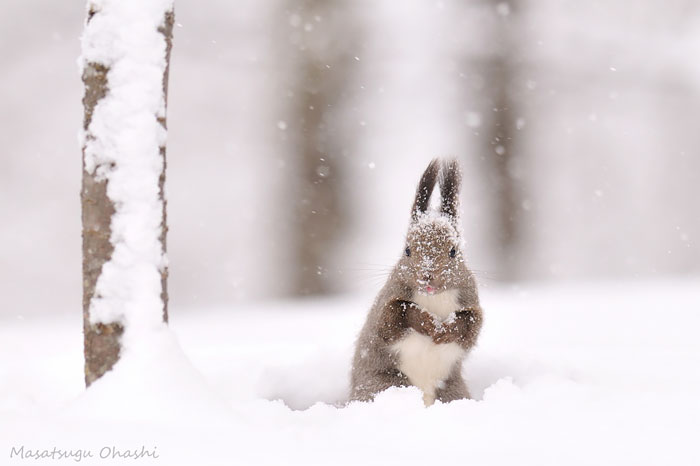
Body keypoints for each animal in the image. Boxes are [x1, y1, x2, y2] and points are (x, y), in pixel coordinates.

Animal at [350, 158, 483, 406]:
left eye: (453, 251)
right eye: (407, 250)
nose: (427, 276)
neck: (434, 297)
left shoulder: (470, 300)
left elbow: (470, 327)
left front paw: (447, 330)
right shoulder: (390, 299)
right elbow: (394, 317)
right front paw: (427, 322)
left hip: (451, 391)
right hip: (383, 384)